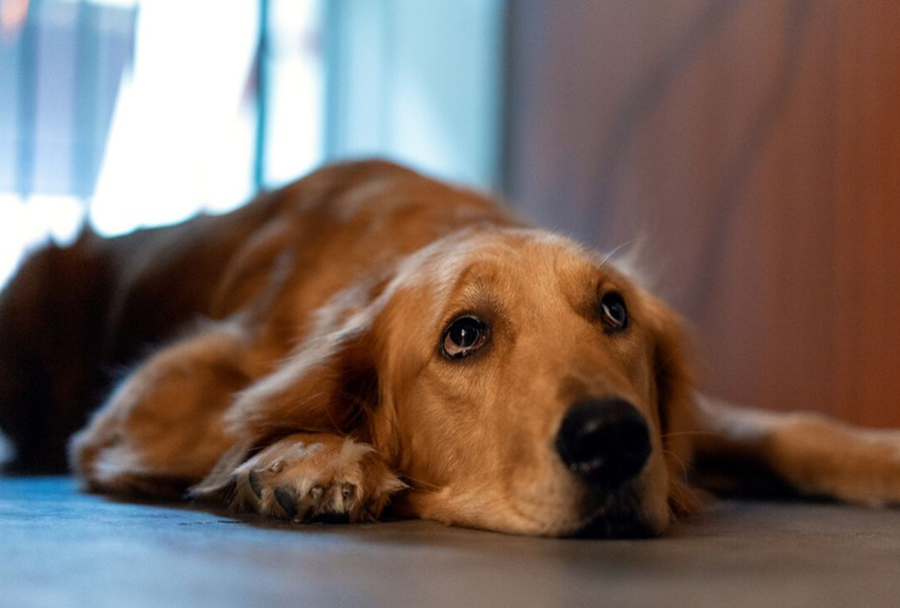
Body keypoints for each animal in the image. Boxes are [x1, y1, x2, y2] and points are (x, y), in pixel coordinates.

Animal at [1, 158, 900, 536]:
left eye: (614, 311)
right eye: (463, 335)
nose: (614, 439)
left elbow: (788, 428)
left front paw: (881, 456)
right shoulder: (142, 406)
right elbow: (242, 421)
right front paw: (306, 459)